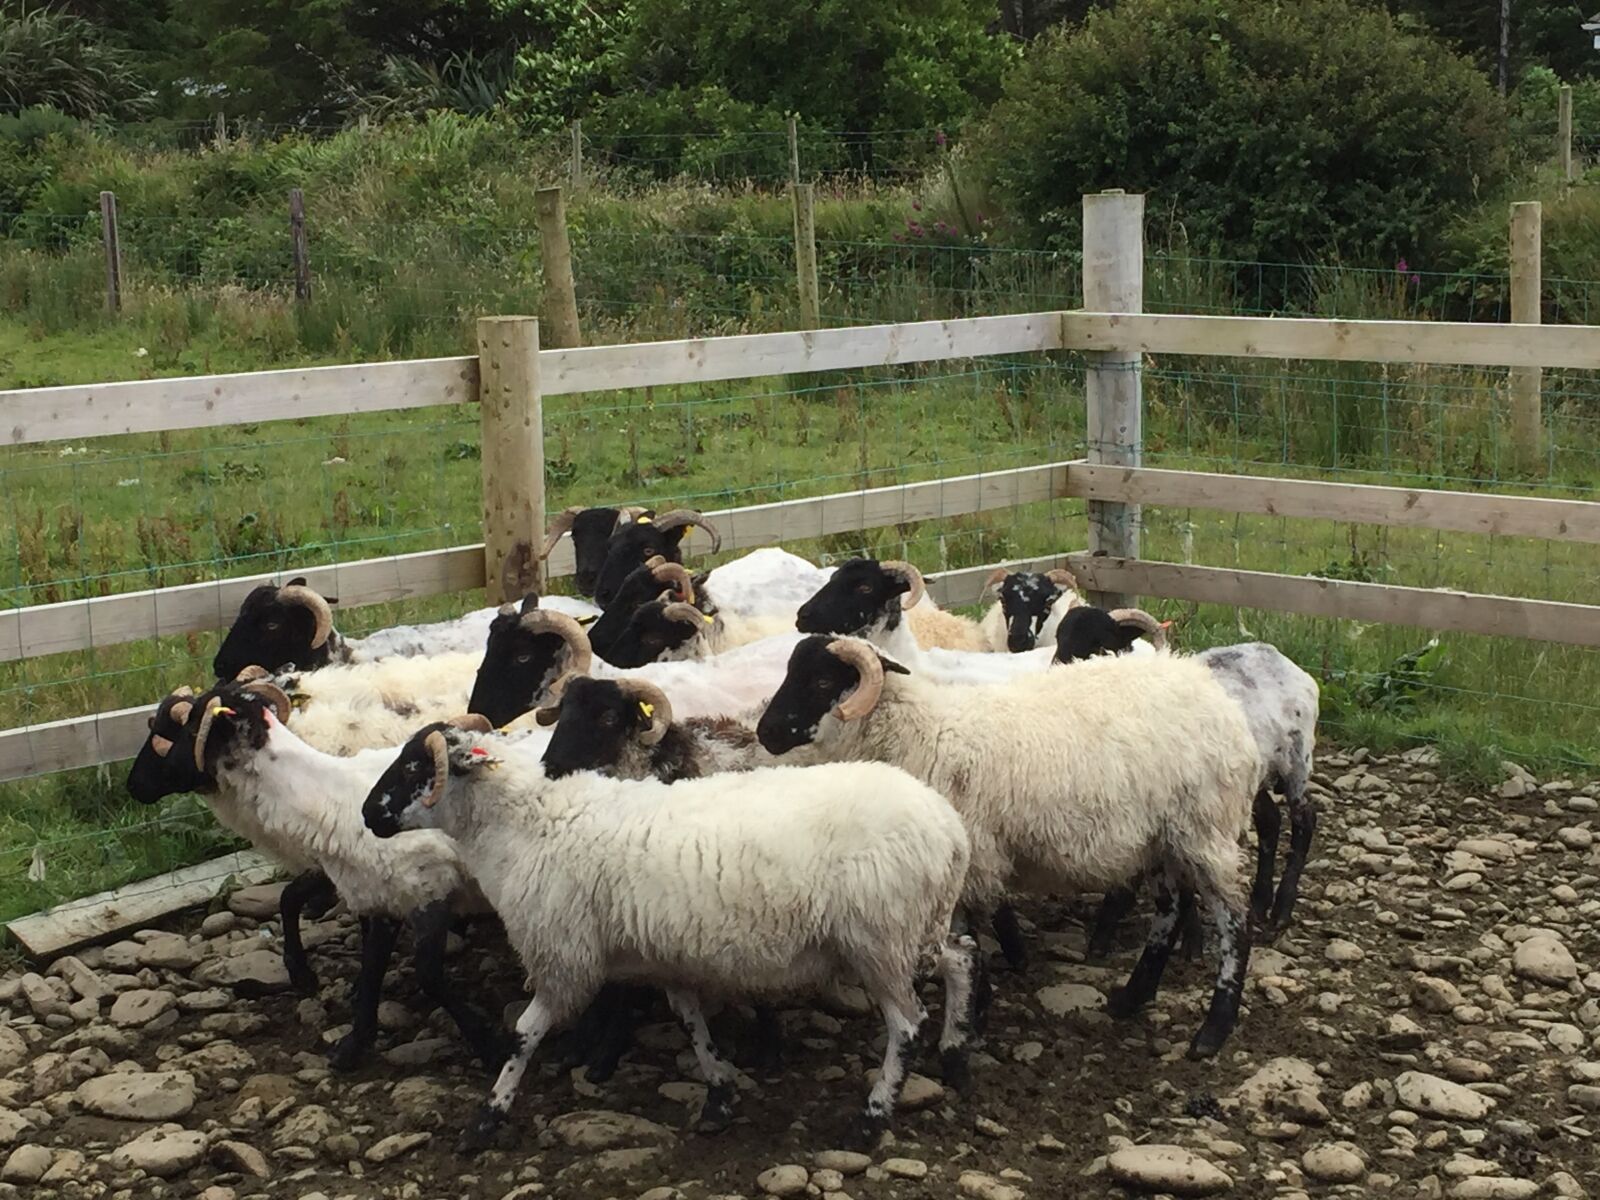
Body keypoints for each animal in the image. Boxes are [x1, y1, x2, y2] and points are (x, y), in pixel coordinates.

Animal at [126, 673, 520, 1072]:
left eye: (189, 727)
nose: (133, 786)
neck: (326, 793)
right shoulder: (380, 896)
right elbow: (370, 965)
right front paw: (352, 1042)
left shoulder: (429, 888)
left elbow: (427, 974)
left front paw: (491, 1046)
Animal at [361, 718, 982, 1151]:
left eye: (415, 768)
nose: (368, 816)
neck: (526, 824)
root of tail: (949, 827)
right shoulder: (665, 957)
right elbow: (691, 1024)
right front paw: (719, 1096)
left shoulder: (565, 957)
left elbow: (524, 1036)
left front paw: (487, 1117)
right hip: (915, 928)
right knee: (961, 959)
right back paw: (955, 1051)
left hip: (880, 938)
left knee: (906, 1023)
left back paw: (873, 1116)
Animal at [755, 635, 1263, 1059]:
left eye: (822, 680)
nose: (766, 733)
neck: (922, 734)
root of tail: (1216, 696)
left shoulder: (975, 857)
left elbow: (974, 936)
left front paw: (974, 1017)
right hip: (1163, 836)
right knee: (1171, 910)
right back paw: (1131, 998)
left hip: (1205, 827)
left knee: (1235, 922)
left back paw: (1212, 1032)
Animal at [1051, 608, 1319, 944]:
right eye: (1059, 636)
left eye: (1099, 644)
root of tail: (1279, 657)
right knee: (1270, 820)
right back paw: (1259, 903)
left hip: (1296, 761)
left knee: (1305, 820)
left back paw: (1281, 910)